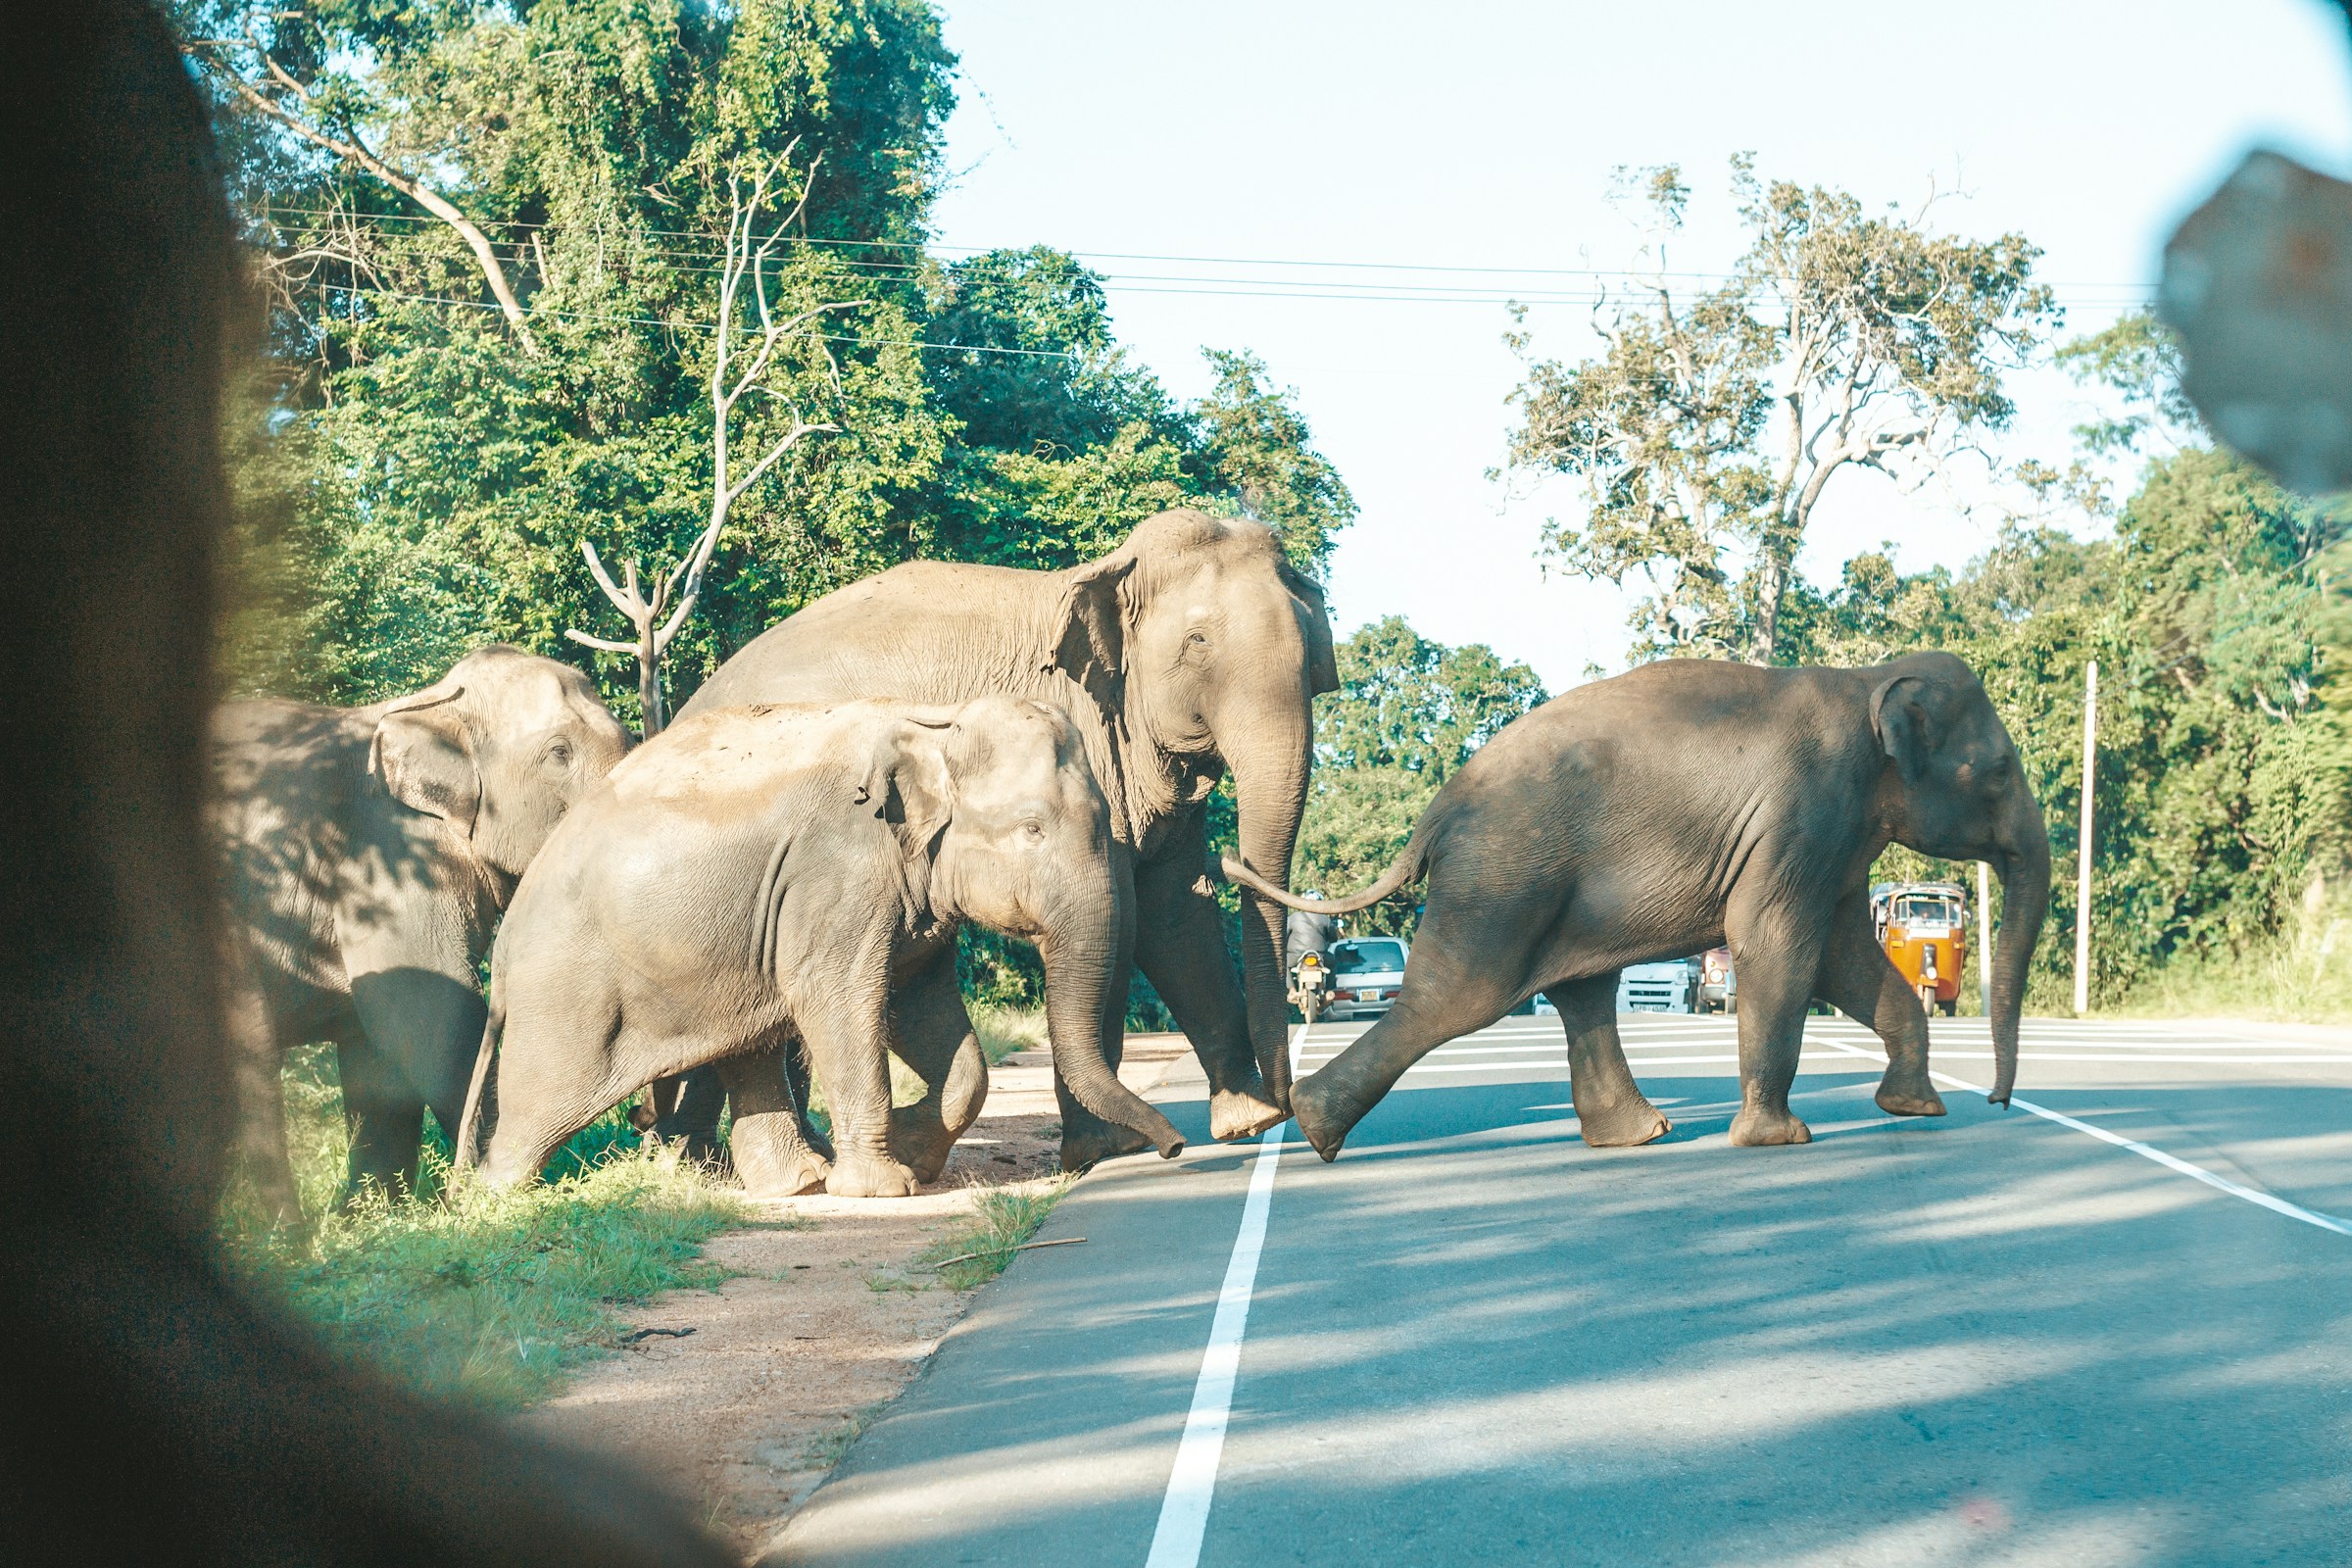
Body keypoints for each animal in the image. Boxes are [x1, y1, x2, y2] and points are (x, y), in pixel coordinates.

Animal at [211, 645, 632, 1218]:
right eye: (559, 754)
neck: (430, 709)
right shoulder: (385, 858)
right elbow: (429, 1010)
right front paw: (480, 1188)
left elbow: (377, 1052)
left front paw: (371, 1215)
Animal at [456, 696, 1185, 1198]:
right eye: (1032, 829)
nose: (1175, 1150)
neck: (932, 720)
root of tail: (507, 944)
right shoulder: (838, 870)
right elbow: (838, 997)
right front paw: (885, 1188)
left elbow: (922, 1008)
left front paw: (912, 1155)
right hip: (567, 989)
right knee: (541, 1101)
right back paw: (493, 1201)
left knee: (744, 1045)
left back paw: (799, 1182)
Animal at [664, 508, 1339, 1175]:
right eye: (1197, 643)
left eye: (1311, 647)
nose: (1292, 1107)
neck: (1105, 573)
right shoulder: (1084, 738)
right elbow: (1123, 917)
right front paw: (1107, 1151)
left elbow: (1173, 908)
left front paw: (1246, 1121)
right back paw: (716, 1160)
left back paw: (723, 1159)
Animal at [1222, 651, 2052, 1161]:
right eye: (1999, 771)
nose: (1999, 1101)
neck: (1869, 680)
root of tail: (1434, 813)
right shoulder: (1804, 812)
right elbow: (1778, 945)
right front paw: (1781, 1140)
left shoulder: (1838, 841)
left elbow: (1845, 961)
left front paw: (1916, 1110)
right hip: (1501, 881)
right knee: (1454, 999)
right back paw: (1317, 1130)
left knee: (1578, 993)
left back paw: (1641, 1134)